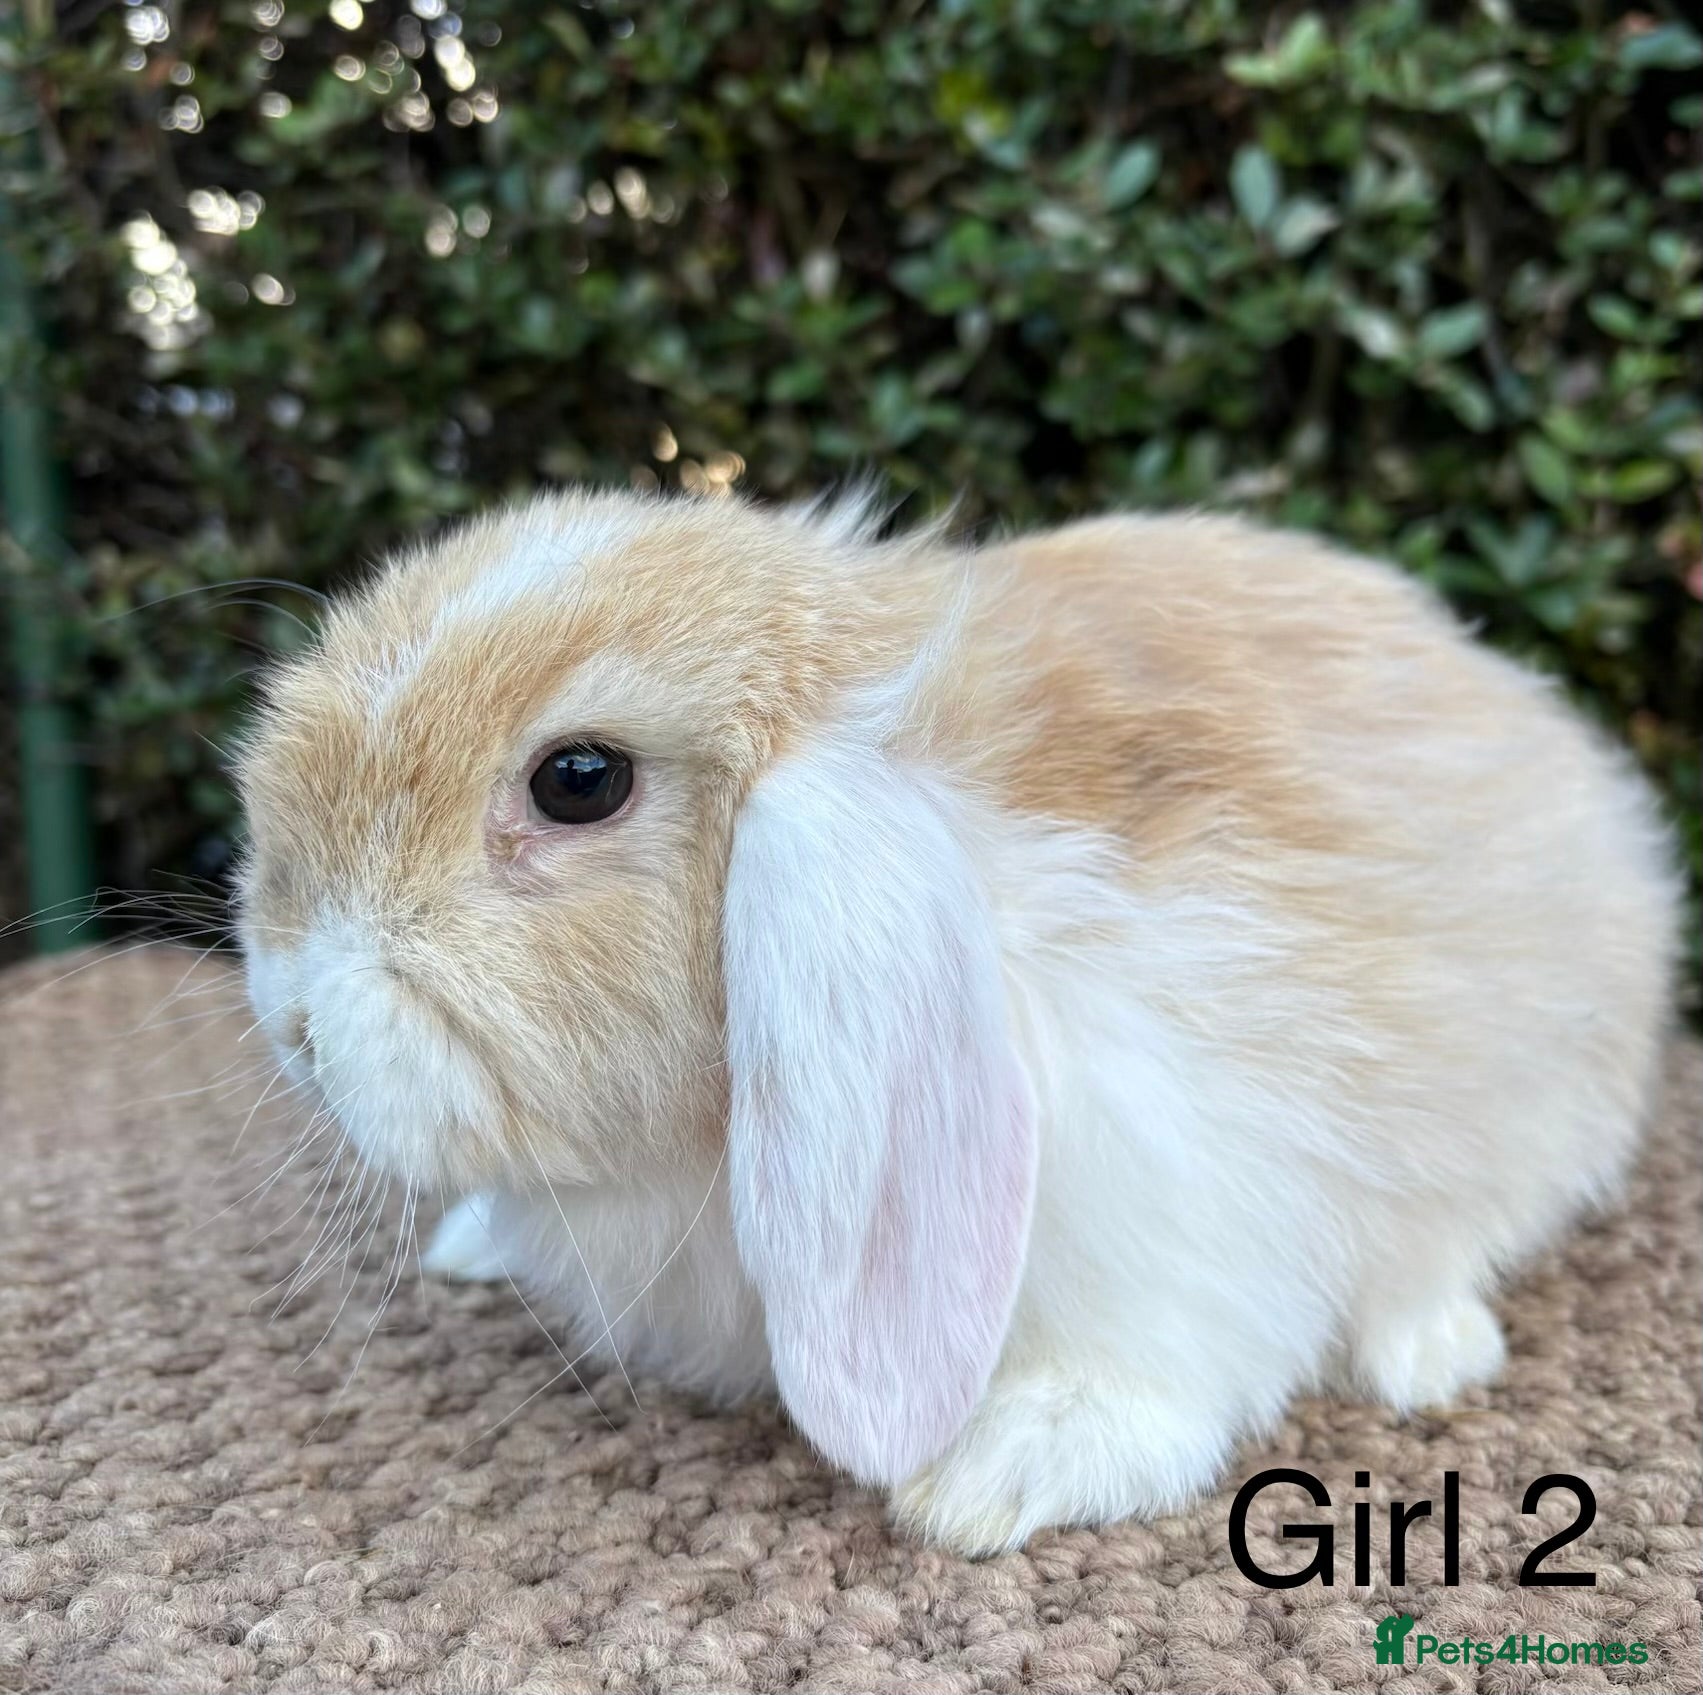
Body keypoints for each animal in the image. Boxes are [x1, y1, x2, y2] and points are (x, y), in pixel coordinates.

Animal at [236, 487, 1679, 1554]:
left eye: (578, 779)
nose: (293, 1013)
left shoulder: (1179, 1193)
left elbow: (1155, 1356)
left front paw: (1000, 1472)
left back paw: (1426, 1348)